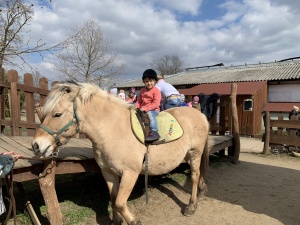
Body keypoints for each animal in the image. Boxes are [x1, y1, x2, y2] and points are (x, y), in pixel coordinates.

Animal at [31, 81, 209, 225]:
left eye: (57, 114)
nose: (36, 145)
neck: (113, 129)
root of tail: (200, 115)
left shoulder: (130, 173)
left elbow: (120, 203)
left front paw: (134, 220)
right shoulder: (108, 172)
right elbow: (113, 197)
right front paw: (117, 221)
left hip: (195, 153)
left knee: (194, 176)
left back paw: (191, 206)